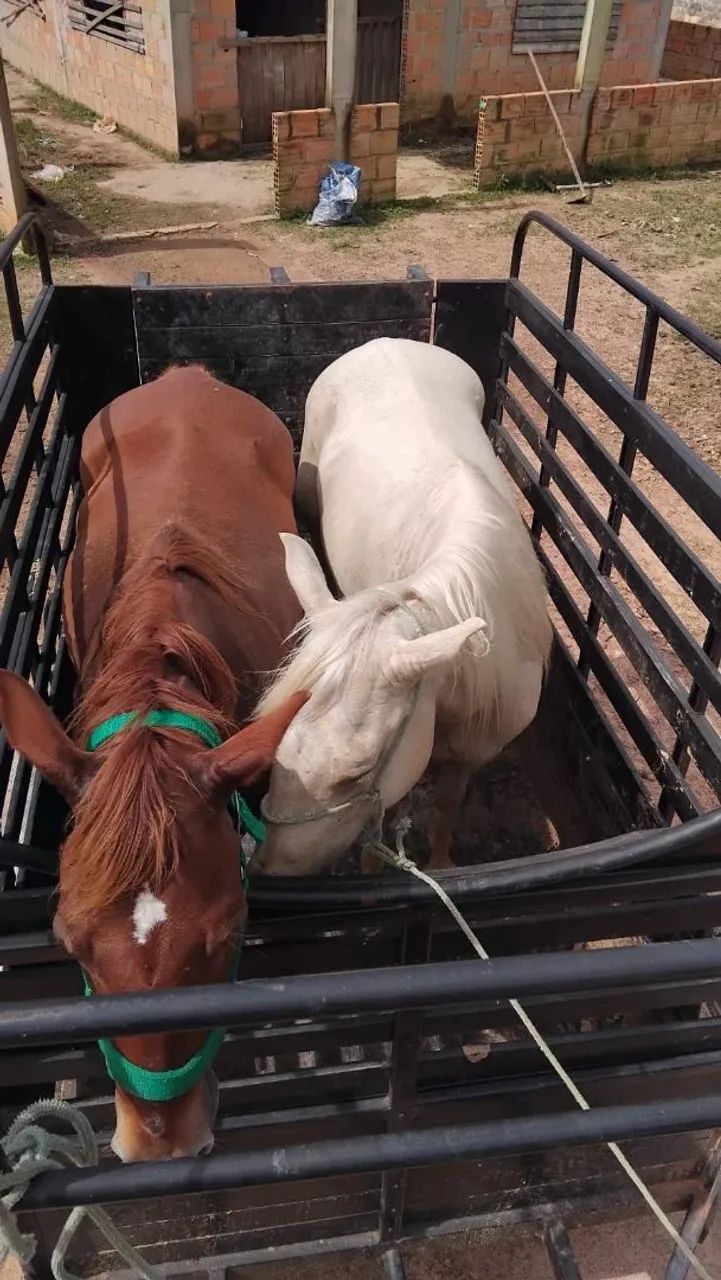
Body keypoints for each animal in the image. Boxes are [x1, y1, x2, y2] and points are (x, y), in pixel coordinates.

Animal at [256, 338, 552, 875]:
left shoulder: (472, 752)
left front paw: (440, 862)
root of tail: (385, 343)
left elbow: (449, 804)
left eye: (359, 770)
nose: (268, 871)